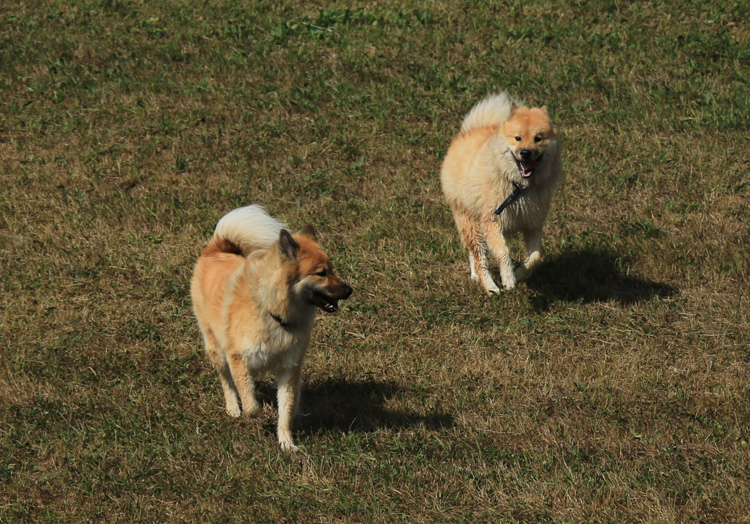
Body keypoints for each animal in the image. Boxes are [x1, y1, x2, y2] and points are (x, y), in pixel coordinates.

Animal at [188, 205, 352, 450]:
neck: (275, 315)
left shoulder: (290, 369)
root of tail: (215, 249)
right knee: (226, 381)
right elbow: (251, 405)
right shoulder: (237, 358)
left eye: (332, 270)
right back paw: (232, 407)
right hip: (215, 348)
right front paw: (257, 412)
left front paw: (286, 443)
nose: (350, 290)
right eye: (321, 273)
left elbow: (286, 409)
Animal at [440, 91, 564, 292]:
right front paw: (508, 278)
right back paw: (490, 287)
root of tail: (467, 133)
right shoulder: (492, 220)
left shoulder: (532, 224)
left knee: (474, 254)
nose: (525, 152)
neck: (519, 188)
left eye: (538, 138)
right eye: (518, 138)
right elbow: (504, 252)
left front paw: (521, 272)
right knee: (479, 257)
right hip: (470, 221)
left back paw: (477, 276)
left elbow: (536, 256)